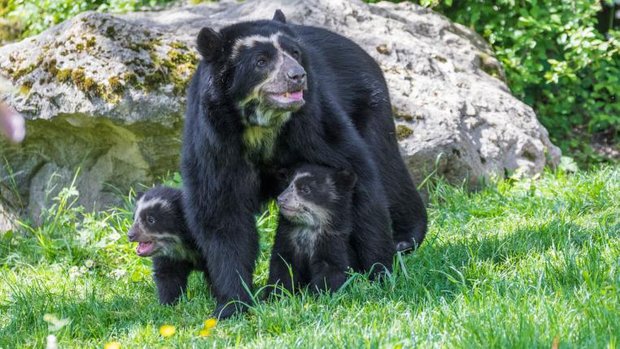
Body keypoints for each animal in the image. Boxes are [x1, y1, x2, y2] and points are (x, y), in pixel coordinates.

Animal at [182, 9, 428, 316]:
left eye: (295, 53)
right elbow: (221, 212)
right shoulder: (215, 144)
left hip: (370, 105)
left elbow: (361, 180)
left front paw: (380, 274)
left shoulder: (314, 124)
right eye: (261, 61)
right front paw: (232, 305)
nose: (297, 75)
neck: (262, 126)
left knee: (388, 168)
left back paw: (406, 238)